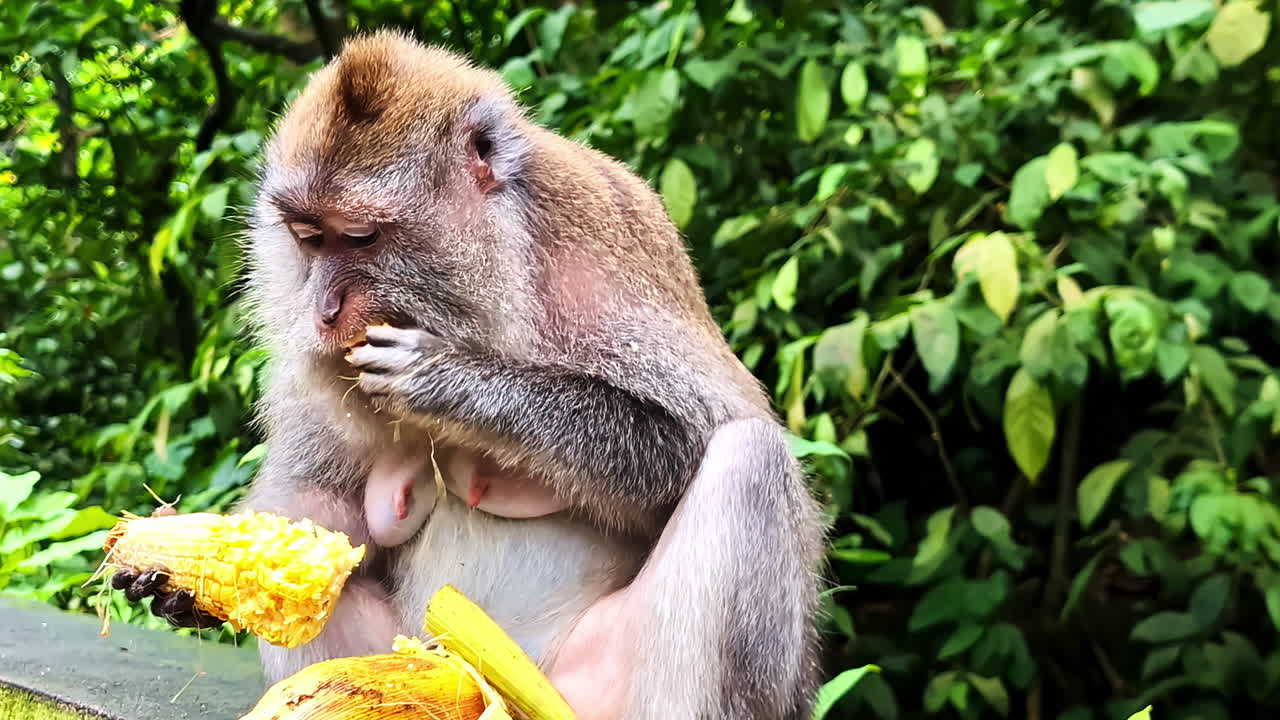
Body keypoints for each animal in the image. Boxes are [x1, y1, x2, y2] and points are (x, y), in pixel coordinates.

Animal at [114, 31, 826, 720]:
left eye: (362, 237)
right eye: (307, 236)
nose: (321, 309)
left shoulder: (609, 250)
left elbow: (688, 445)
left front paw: (449, 379)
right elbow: (322, 509)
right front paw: (184, 583)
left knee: (749, 461)